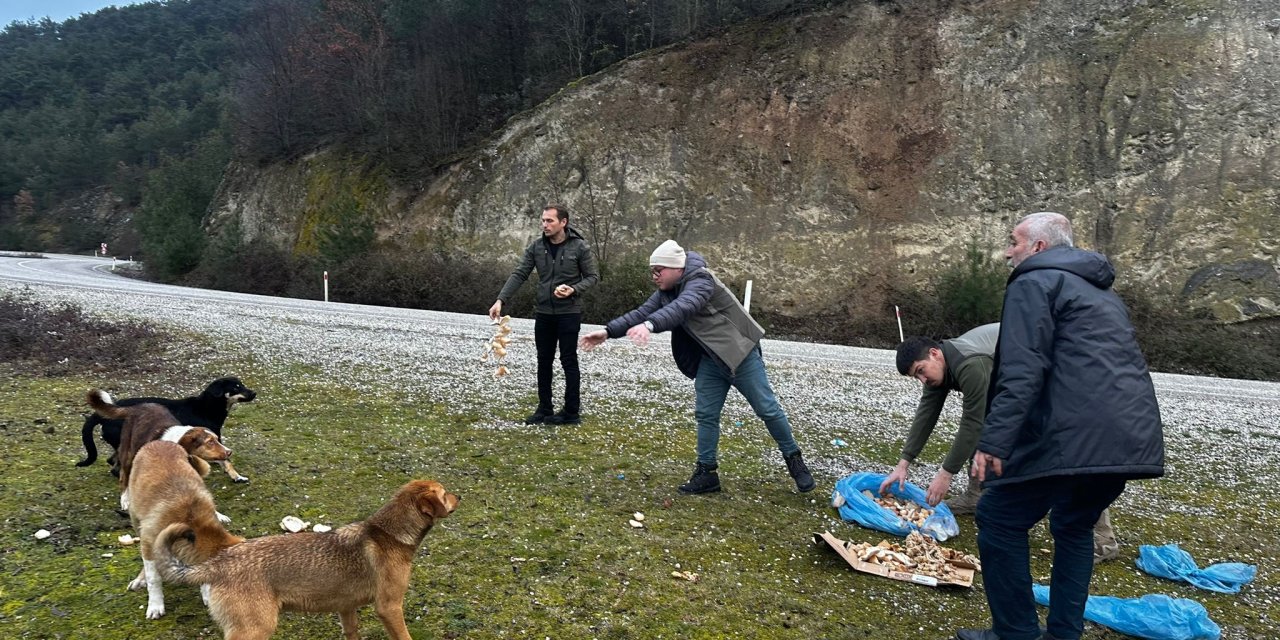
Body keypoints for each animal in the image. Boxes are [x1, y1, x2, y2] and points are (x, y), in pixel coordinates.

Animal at [76, 373, 254, 481]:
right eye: (236, 387)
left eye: (242, 385)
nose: (254, 393)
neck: (205, 408)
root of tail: (101, 415)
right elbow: (226, 460)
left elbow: (225, 460)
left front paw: (237, 477)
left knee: (112, 462)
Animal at [86, 386, 231, 512]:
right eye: (210, 442)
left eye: (216, 439)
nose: (229, 452)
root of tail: (135, 408)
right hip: (128, 454)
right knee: (123, 477)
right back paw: (125, 500)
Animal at [128, 440, 243, 619]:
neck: (193, 521)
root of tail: (160, 442)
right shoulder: (148, 543)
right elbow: (153, 578)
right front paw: (155, 605)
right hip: (135, 518)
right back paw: (141, 580)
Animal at [153, 481, 460, 640]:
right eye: (445, 492)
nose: (460, 495)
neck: (390, 534)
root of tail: (218, 563)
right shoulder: (389, 606)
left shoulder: (346, 607)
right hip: (255, 628)